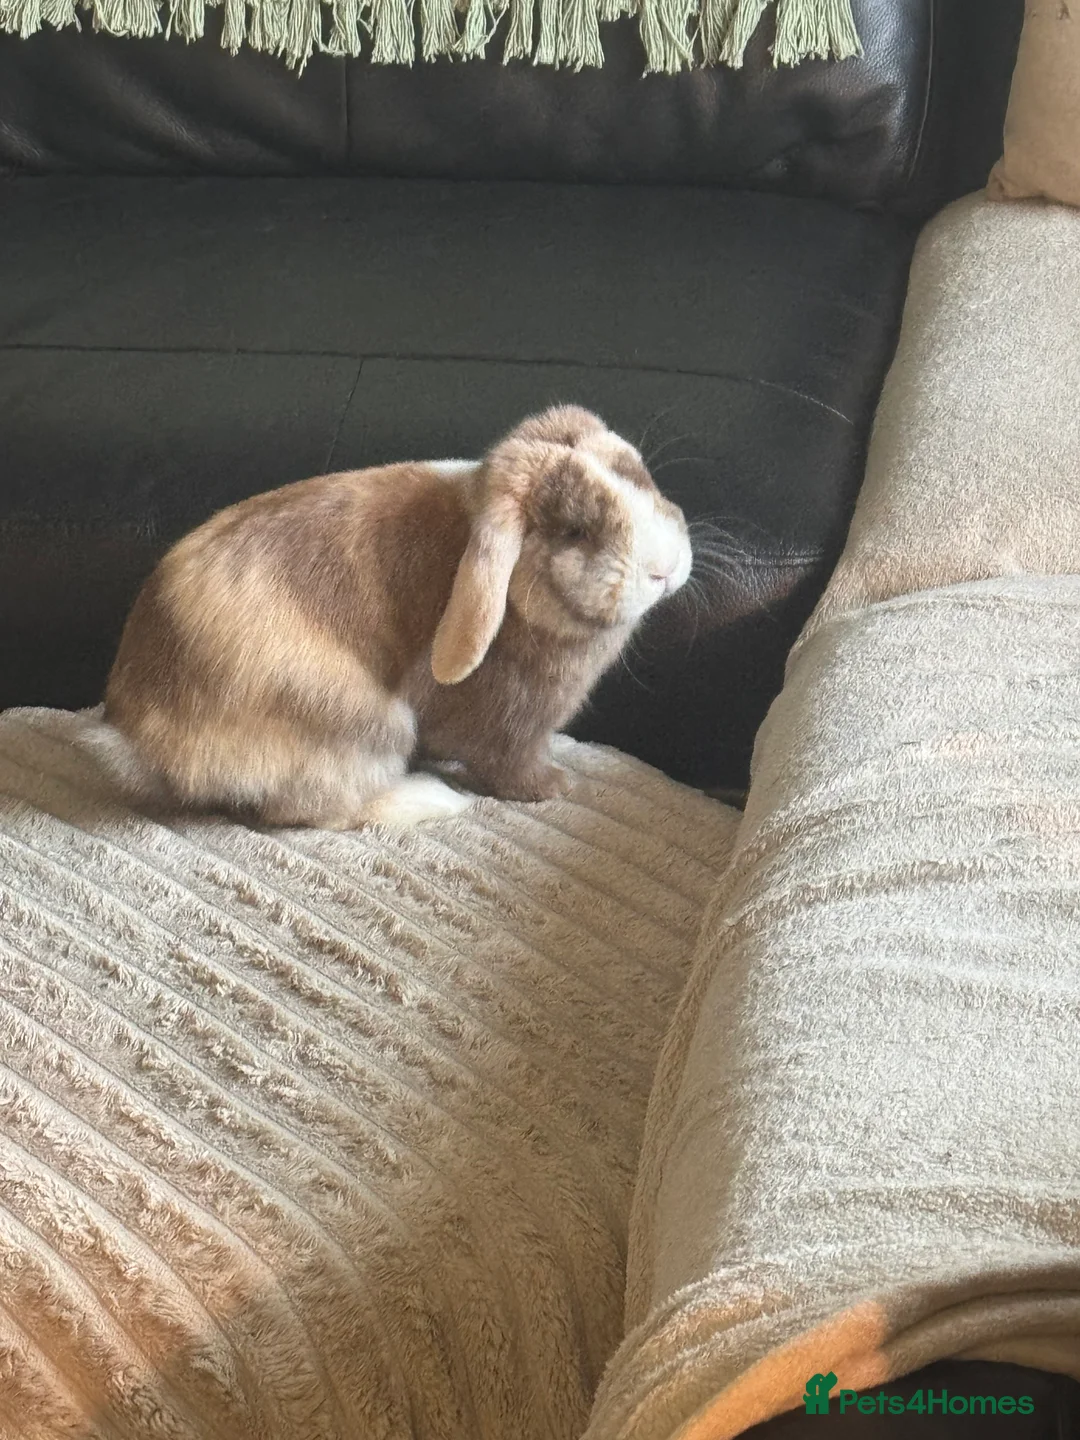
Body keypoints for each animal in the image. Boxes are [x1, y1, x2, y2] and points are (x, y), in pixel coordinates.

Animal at [97, 405, 692, 829]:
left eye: (644, 479)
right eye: (575, 531)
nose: (664, 569)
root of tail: (140, 732)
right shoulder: (513, 723)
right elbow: (511, 764)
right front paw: (556, 786)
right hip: (368, 725)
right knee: (315, 811)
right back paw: (431, 799)